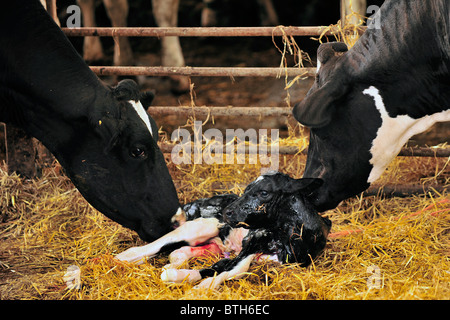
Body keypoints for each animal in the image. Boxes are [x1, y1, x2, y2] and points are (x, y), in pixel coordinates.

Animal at [115, 172, 330, 290]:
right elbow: (234, 268)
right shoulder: (251, 243)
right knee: (152, 246)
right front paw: (196, 288)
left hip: (215, 243)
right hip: (204, 224)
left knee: (181, 251)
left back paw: (174, 266)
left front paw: (188, 281)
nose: (228, 212)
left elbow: (226, 267)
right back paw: (120, 259)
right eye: (246, 189)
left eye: (264, 192)